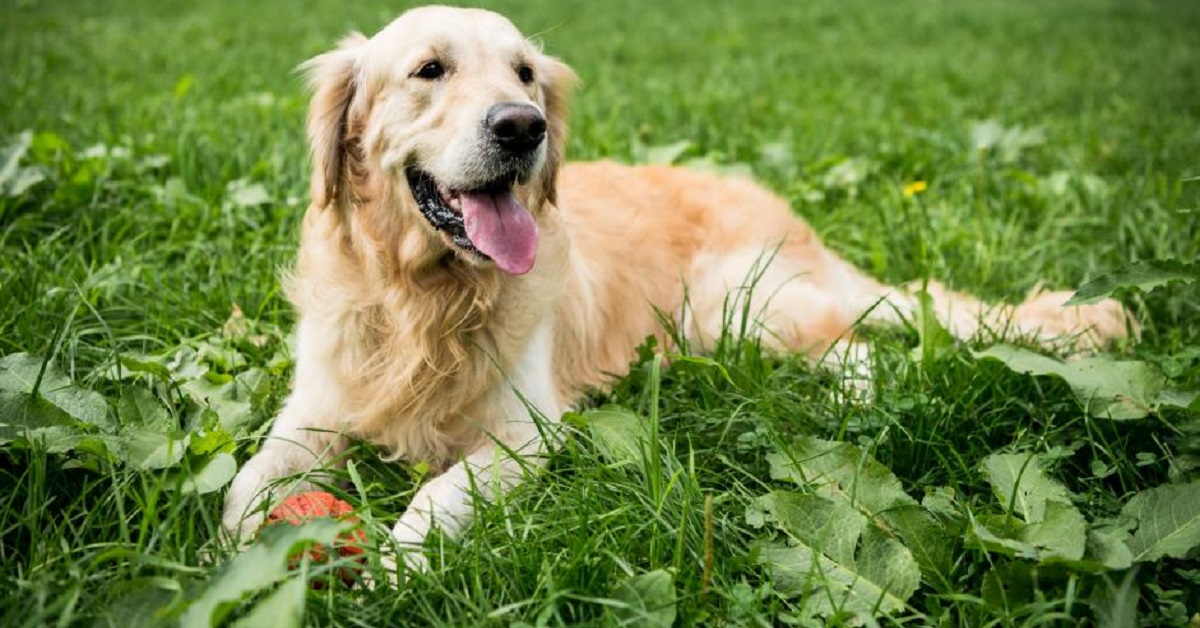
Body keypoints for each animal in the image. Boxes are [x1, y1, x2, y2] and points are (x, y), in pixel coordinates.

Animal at [223, 4, 1132, 573]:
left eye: (524, 72)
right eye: (429, 70)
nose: (523, 126)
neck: (424, 298)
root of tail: (785, 209)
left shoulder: (527, 434)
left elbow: (440, 491)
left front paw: (396, 566)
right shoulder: (313, 408)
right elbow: (244, 484)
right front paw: (228, 558)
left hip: (736, 307)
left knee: (860, 348)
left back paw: (850, 404)